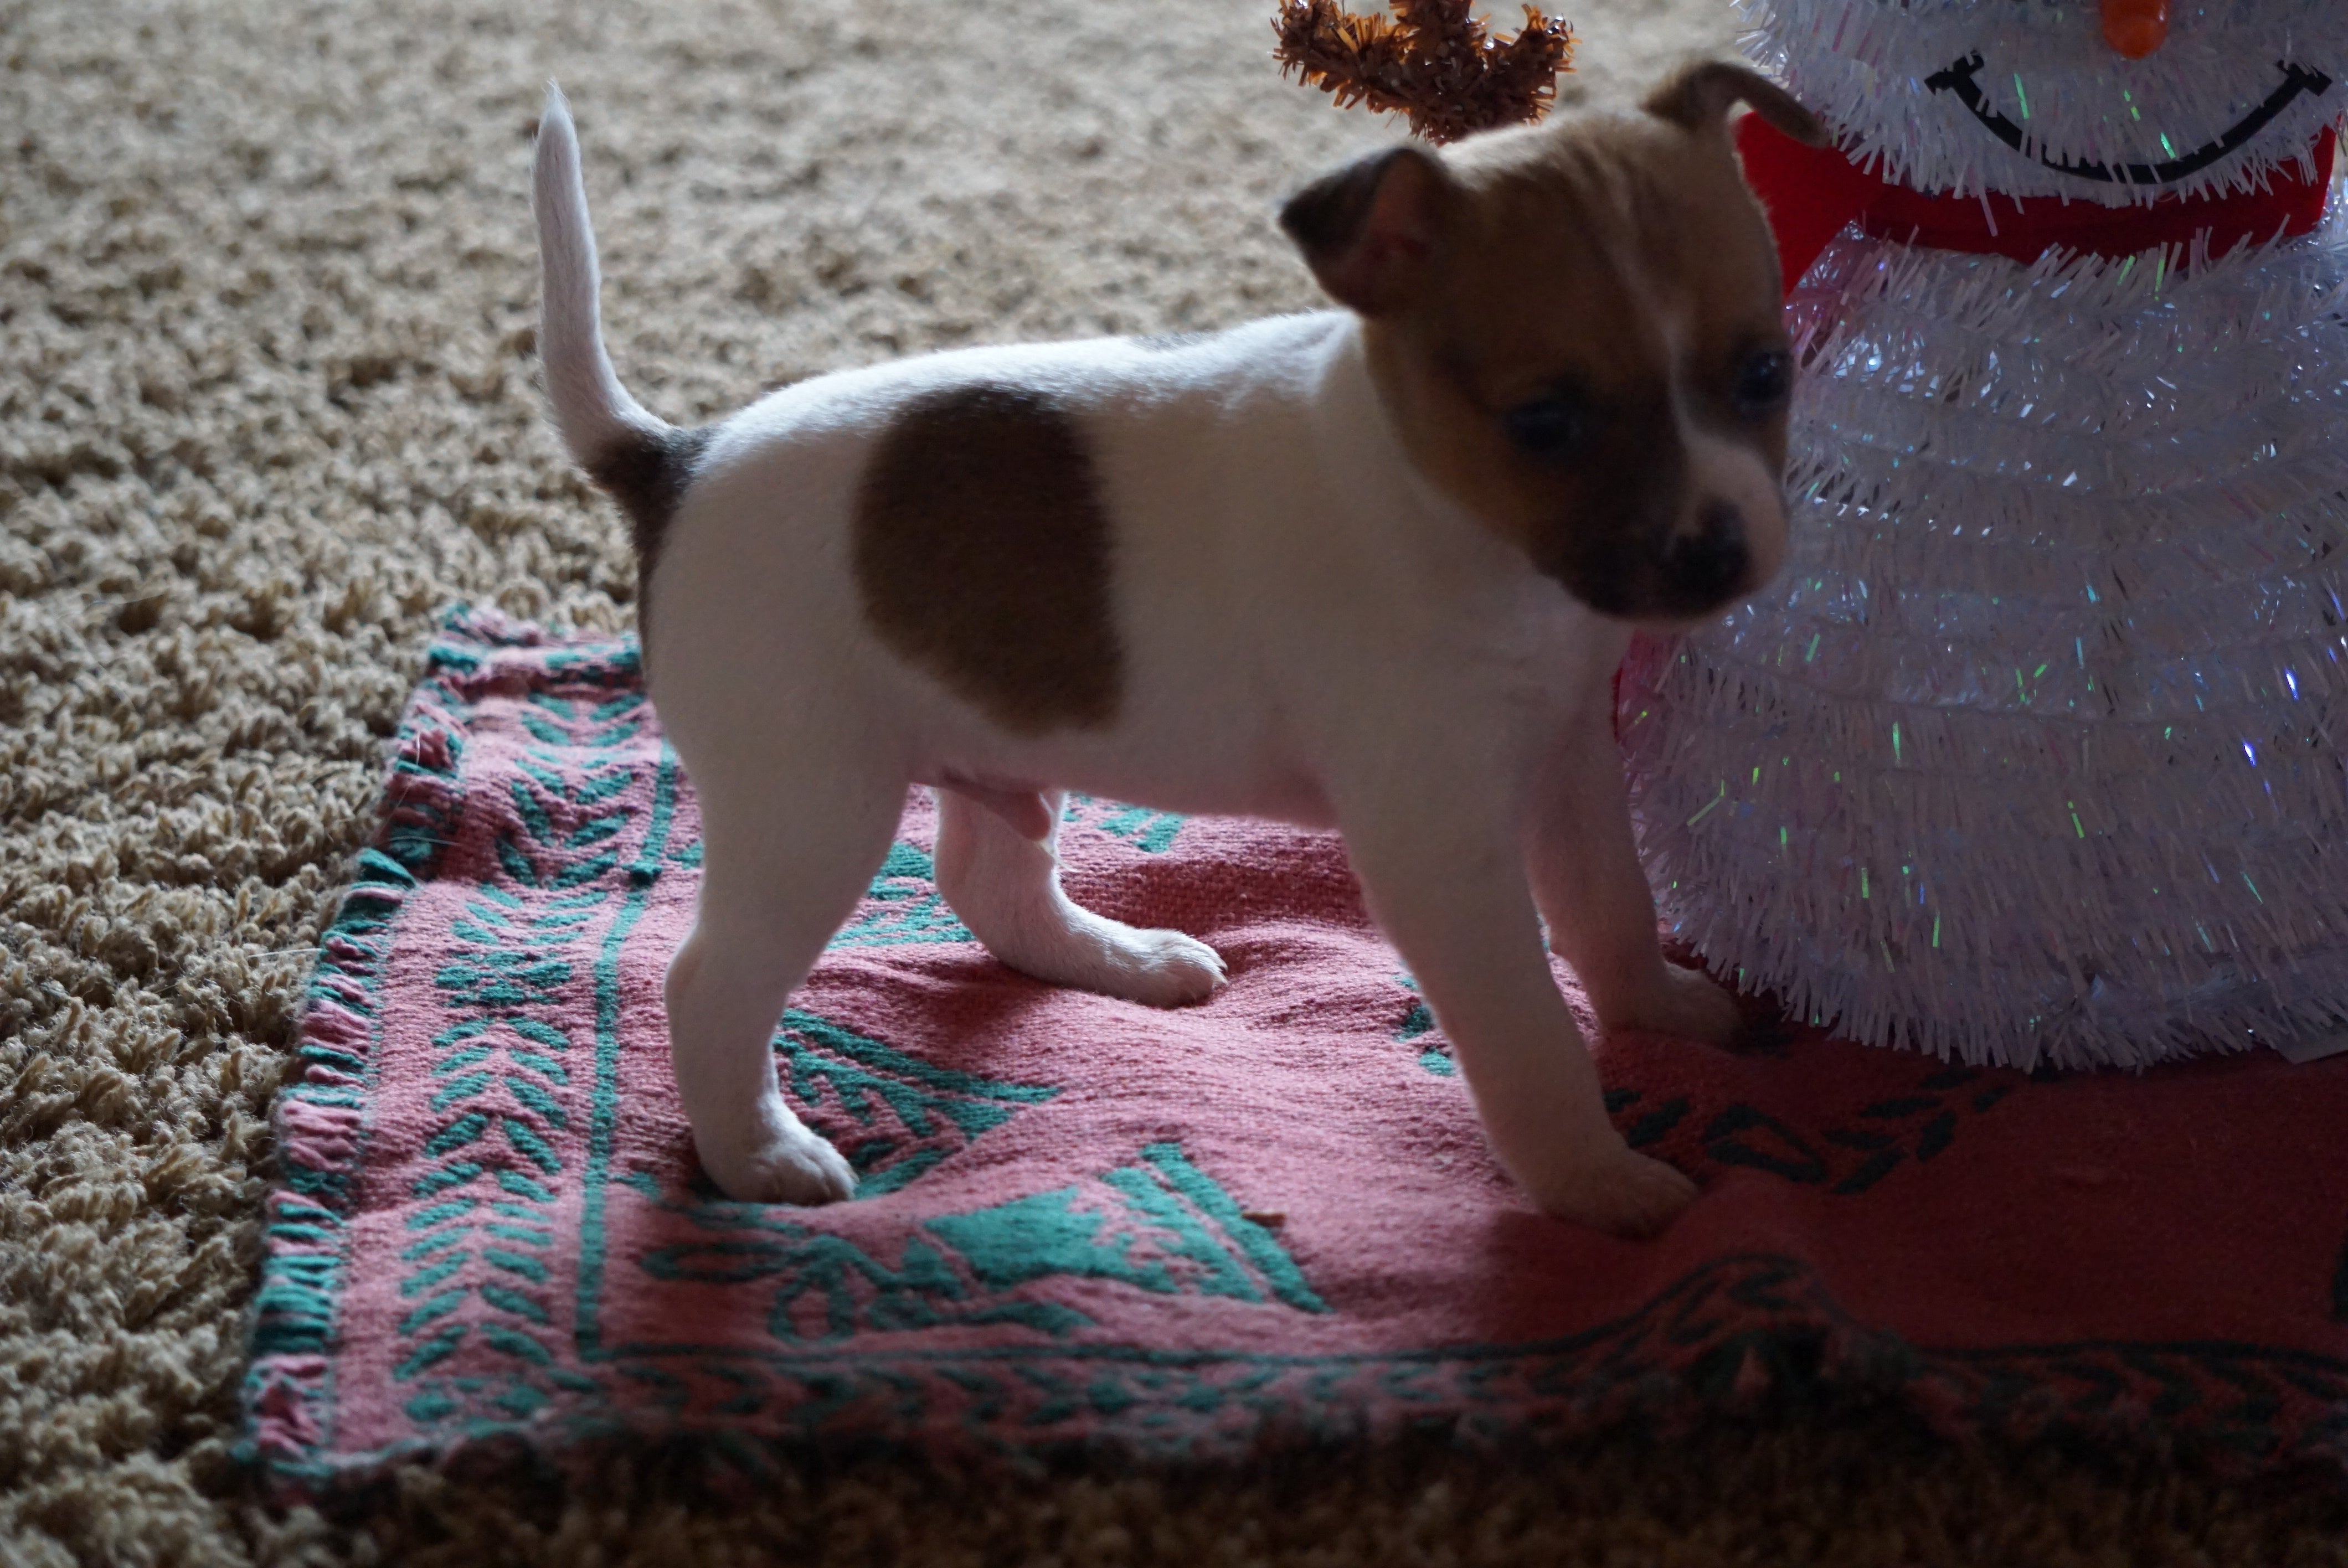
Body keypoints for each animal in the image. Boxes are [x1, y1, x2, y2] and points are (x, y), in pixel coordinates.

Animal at [537, 64, 1831, 1239]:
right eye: (1545, 424)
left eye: (1766, 371)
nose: (1718, 550)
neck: (1442, 510)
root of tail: (678, 461)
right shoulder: (1443, 846)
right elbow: (1529, 1029)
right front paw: (1593, 1177)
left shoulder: (1566, 758)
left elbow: (1610, 904)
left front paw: (1656, 1009)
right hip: (812, 815)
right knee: (709, 985)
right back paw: (757, 1153)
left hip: (993, 743)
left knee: (991, 887)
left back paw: (1122, 959)